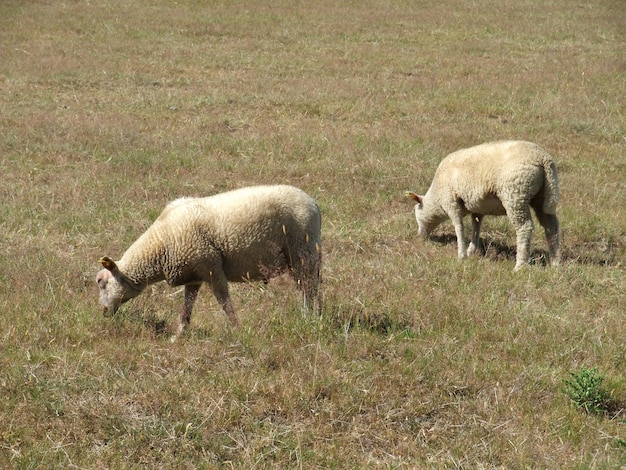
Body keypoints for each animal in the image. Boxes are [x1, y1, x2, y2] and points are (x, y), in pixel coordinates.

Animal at [98, 185, 322, 342]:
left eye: (101, 282)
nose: (103, 313)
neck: (161, 245)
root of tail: (314, 203)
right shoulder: (193, 275)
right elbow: (187, 307)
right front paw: (179, 335)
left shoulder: (212, 268)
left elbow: (224, 301)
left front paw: (236, 329)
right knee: (308, 288)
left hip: (303, 251)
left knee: (310, 289)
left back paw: (311, 319)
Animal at [404, 141, 560, 270]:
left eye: (415, 211)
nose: (419, 236)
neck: (436, 199)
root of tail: (543, 158)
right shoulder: (477, 207)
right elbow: (476, 226)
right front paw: (472, 250)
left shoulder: (451, 203)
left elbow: (459, 228)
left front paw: (461, 255)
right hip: (542, 196)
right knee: (551, 226)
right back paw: (555, 262)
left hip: (515, 195)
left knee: (524, 227)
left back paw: (520, 265)